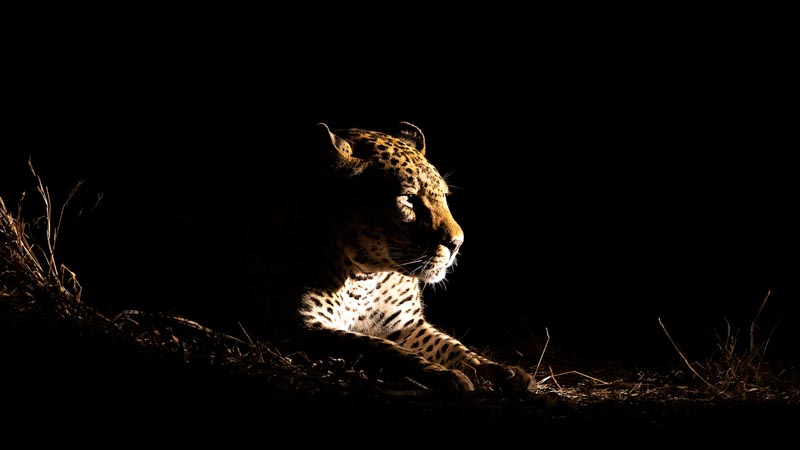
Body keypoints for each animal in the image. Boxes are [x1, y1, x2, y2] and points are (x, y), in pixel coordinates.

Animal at [206, 121, 537, 393]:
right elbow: (380, 348)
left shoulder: (407, 325)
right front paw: (446, 376)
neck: (365, 277)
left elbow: (454, 347)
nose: (457, 243)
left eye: (444, 195)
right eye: (408, 199)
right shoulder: (299, 326)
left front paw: (505, 371)